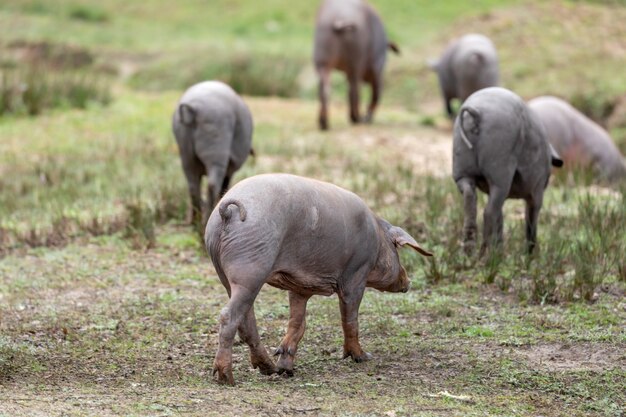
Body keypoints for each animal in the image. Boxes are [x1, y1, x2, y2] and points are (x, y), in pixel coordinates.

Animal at [172, 79, 252, 232]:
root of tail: (194, 109)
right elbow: (224, 184)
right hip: (216, 142)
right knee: (213, 184)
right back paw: (205, 220)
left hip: (185, 149)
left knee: (193, 186)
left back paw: (195, 222)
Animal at [205, 172, 428, 384]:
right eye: (397, 249)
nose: (408, 282)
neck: (378, 239)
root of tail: (227, 211)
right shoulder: (356, 274)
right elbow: (350, 318)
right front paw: (363, 357)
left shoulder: (299, 286)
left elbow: (298, 323)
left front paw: (287, 370)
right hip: (250, 268)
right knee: (228, 315)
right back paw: (226, 378)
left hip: (222, 269)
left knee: (246, 320)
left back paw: (270, 369)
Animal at [312, 0, 400, 129]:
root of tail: (339, 19)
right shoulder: (377, 70)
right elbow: (376, 94)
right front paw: (366, 118)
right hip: (357, 63)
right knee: (357, 91)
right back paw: (357, 118)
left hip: (323, 62)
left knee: (325, 89)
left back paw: (324, 123)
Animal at [450, 88, 564, 254]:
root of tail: (477, 113)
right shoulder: (537, 190)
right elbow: (531, 219)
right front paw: (530, 255)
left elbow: (501, 219)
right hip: (500, 172)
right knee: (489, 212)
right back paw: (485, 254)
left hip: (462, 171)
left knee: (471, 201)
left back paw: (470, 252)